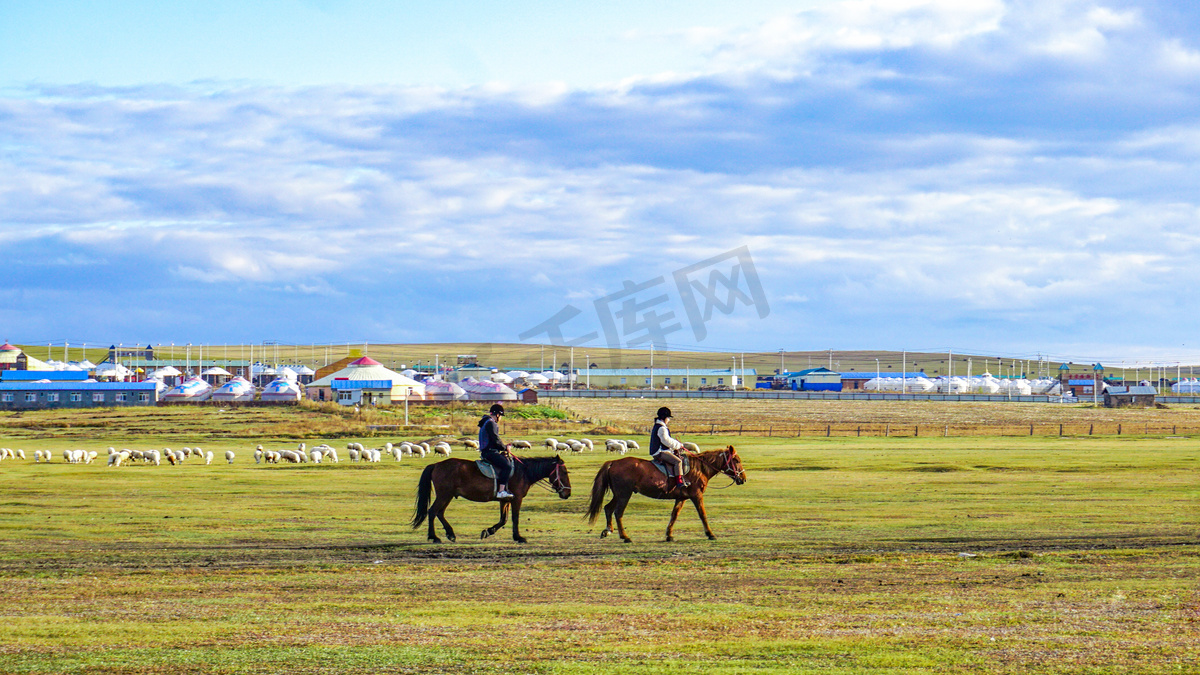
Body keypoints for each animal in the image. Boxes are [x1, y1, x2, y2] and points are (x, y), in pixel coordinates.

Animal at [412, 451, 571, 540]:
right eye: (564, 472)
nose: (567, 493)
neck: (523, 472)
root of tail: (436, 464)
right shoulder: (517, 499)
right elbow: (514, 518)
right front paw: (518, 537)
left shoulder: (505, 500)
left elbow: (503, 520)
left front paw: (488, 531)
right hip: (444, 495)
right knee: (432, 512)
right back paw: (433, 537)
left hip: (448, 496)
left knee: (439, 513)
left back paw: (450, 534)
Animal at [585, 446, 744, 540]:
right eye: (736, 460)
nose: (743, 478)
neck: (699, 469)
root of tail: (613, 462)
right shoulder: (696, 495)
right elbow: (702, 514)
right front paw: (710, 534)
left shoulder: (681, 498)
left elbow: (674, 515)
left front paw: (669, 535)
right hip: (624, 494)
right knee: (618, 513)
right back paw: (625, 536)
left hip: (618, 494)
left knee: (608, 508)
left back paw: (608, 530)